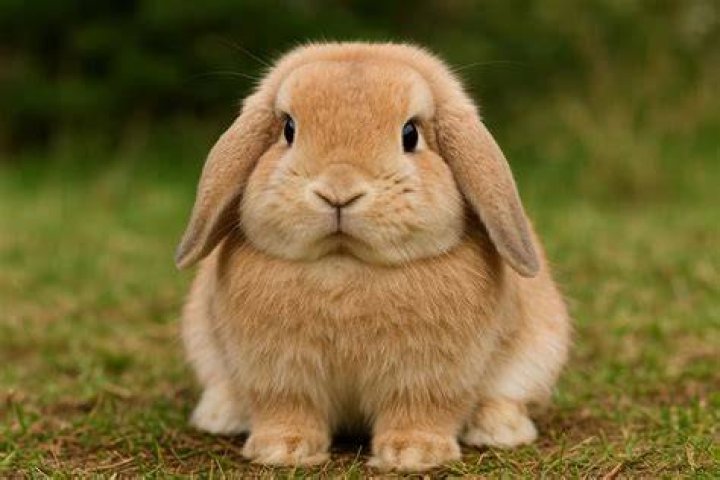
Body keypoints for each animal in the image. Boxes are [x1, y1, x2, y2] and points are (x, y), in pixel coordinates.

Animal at [175, 42, 570, 472]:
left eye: (410, 134)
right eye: (288, 129)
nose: (338, 191)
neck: (345, 265)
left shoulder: (429, 378)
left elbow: (421, 411)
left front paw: (413, 454)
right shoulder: (279, 375)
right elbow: (287, 409)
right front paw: (282, 450)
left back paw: (500, 430)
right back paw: (221, 415)